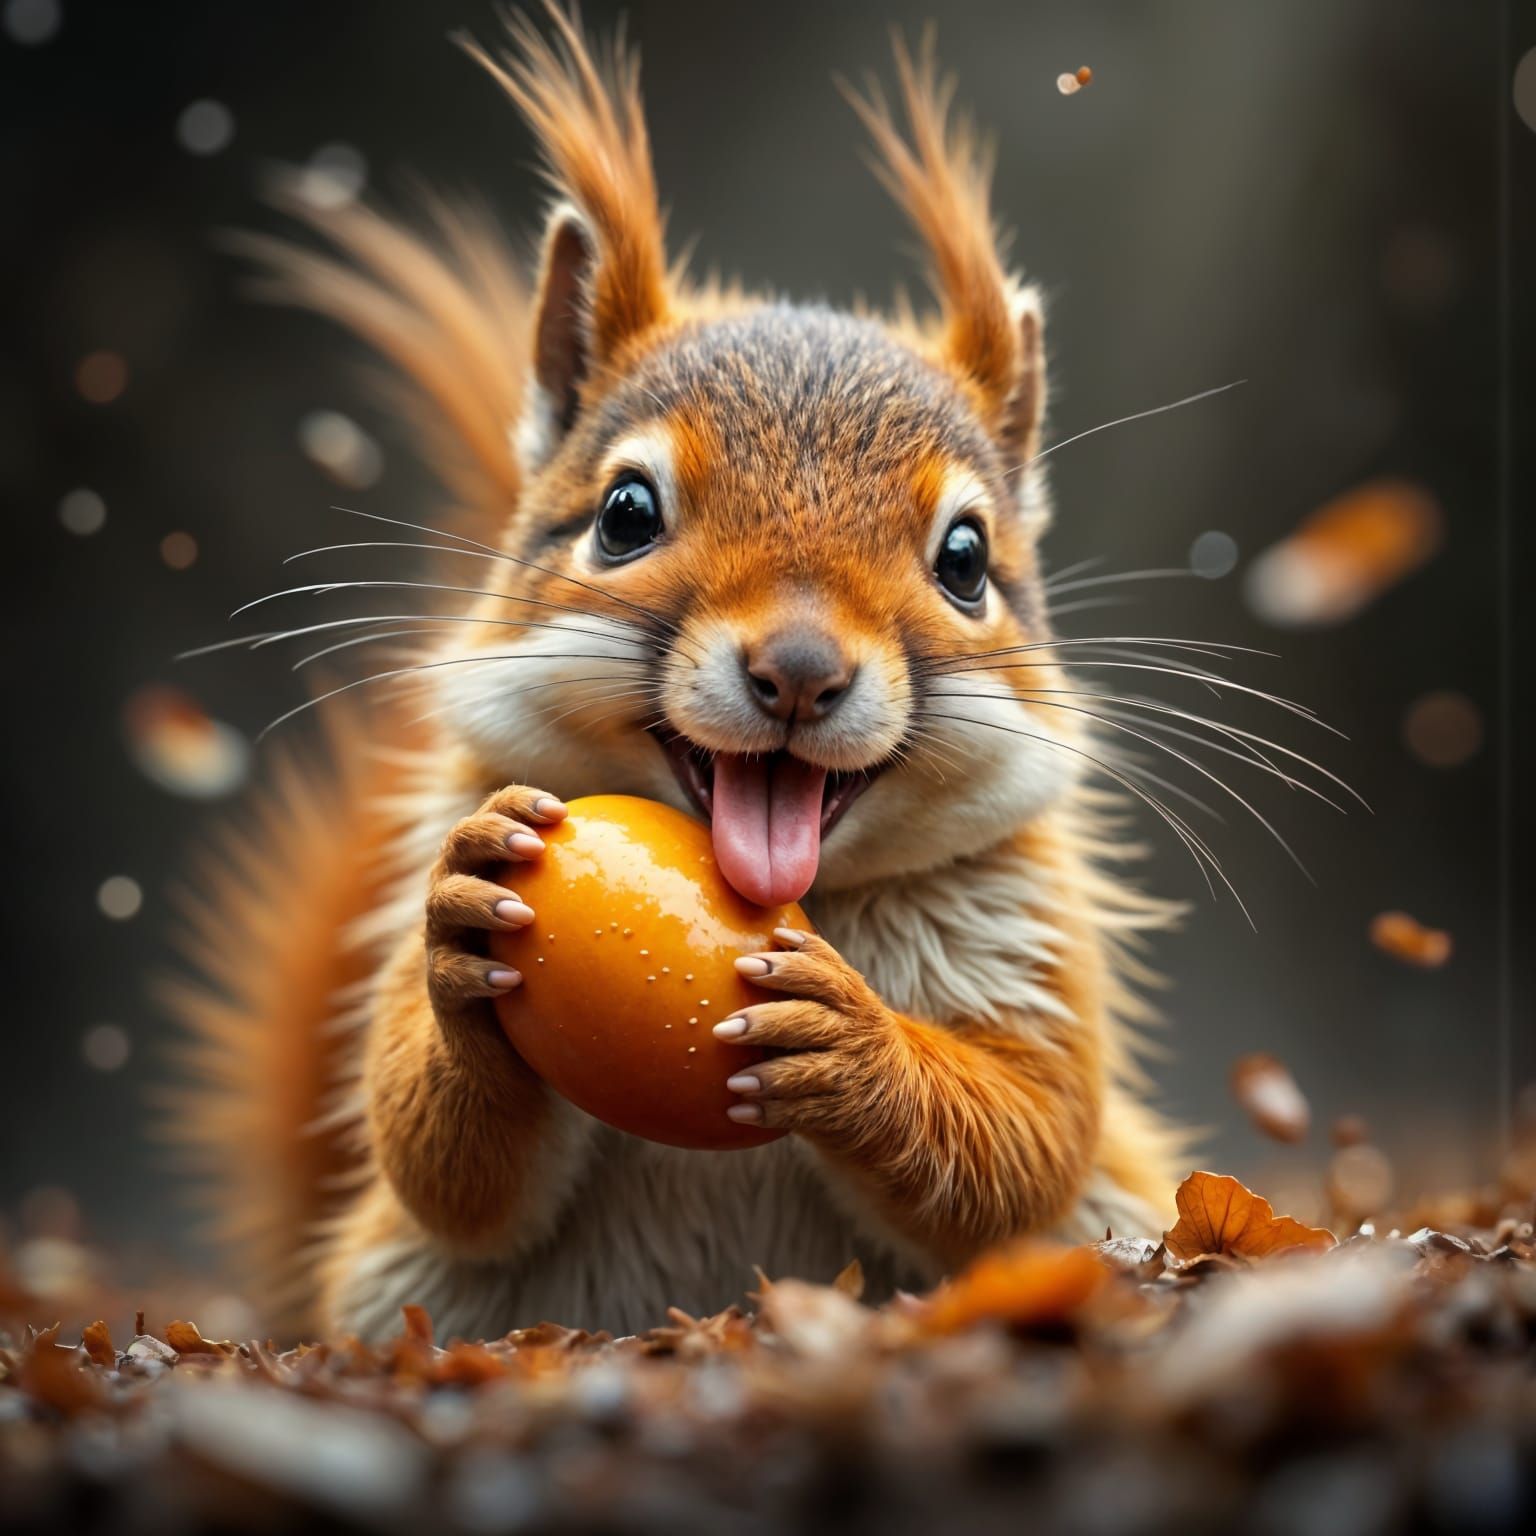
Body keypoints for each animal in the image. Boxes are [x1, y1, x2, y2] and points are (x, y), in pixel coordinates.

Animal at [168, 8, 1189, 1341]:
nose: (799, 671)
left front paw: (857, 1045)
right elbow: (436, 1155)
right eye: (625, 513)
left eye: (967, 559)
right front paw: (461, 930)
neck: (807, 900)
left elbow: (1026, 1136)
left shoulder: (1034, 946)